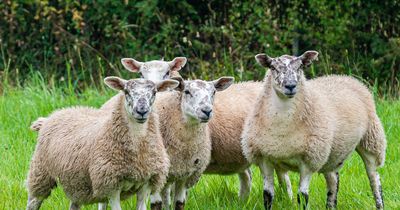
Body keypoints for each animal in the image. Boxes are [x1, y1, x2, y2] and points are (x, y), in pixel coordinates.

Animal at [25, 77, 179, 210]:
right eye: (126, 91)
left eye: (154, 92)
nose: (142, 111)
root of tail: (52, 115)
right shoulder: (111, 185)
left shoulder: (146, 183)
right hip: (40, 173)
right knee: (33, 201)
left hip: (76, 182)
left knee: (74, 204)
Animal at [149, 75, 236, 210]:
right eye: (187, 92)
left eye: (214, 92)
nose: (207, 111)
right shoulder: (156, 174)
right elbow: (156, 205)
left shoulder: (185, 173)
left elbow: (179, 203)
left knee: (166, 194)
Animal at [241, 51, 388, 210]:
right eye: (273, 67)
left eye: (300, 67)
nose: (290, 86)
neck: (282, 131)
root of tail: (345, 77)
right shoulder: (264, 160)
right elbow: (267, 195)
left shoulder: (309, 161)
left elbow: (302, 196)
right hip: (331, 154)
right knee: (333, 181)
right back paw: (330, 206)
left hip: (371, 140)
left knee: (374, 178)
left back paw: (379, 202)